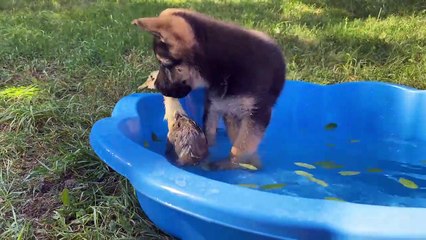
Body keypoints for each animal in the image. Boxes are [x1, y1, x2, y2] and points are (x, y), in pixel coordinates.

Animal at [132, 8, 286, 170]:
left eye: (165, 63)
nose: (157, 86)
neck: (225, 71)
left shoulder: (256, 114)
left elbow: (240, 146)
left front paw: (235, 163)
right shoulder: (216, 105)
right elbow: (210, 133)